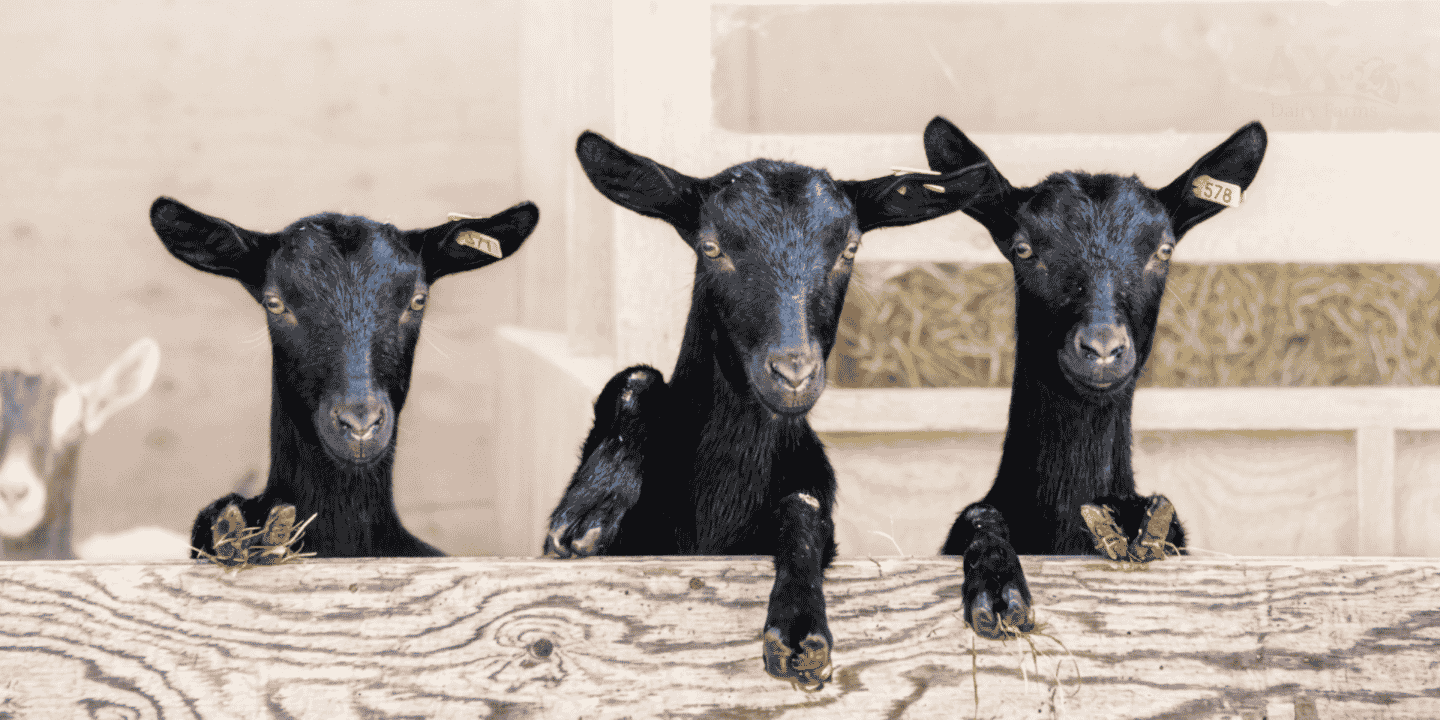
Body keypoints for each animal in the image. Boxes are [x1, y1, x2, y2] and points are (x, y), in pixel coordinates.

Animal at [543, 130, 986, 688]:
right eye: (711, 247)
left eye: (850, 248)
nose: (793, 373)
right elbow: (636, 378)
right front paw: (590, 509)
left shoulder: (813, 490)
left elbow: (804, 508)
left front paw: (799, 631)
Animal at [924, 116, 1268, 638]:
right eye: (1023, 248)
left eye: (1164, 249)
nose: (1102, 348)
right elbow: (979, 516)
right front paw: (997, 587)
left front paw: (1136, 526)